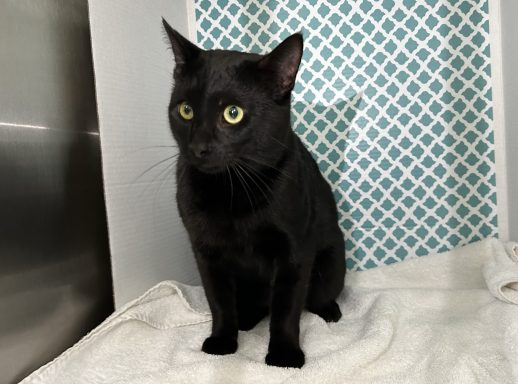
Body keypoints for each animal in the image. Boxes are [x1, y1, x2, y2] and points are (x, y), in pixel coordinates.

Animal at [165, 18, 348, 368]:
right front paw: (222, 341)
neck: (233, 192)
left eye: (233, 113)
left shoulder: (294, 251)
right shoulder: (205, 251)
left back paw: (329, 310)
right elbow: (219, 301)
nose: (198, 147)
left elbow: (287, 308)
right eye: (186, 110)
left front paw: (285, 355)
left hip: (333, 260)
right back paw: (246, 320)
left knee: (314, 296)